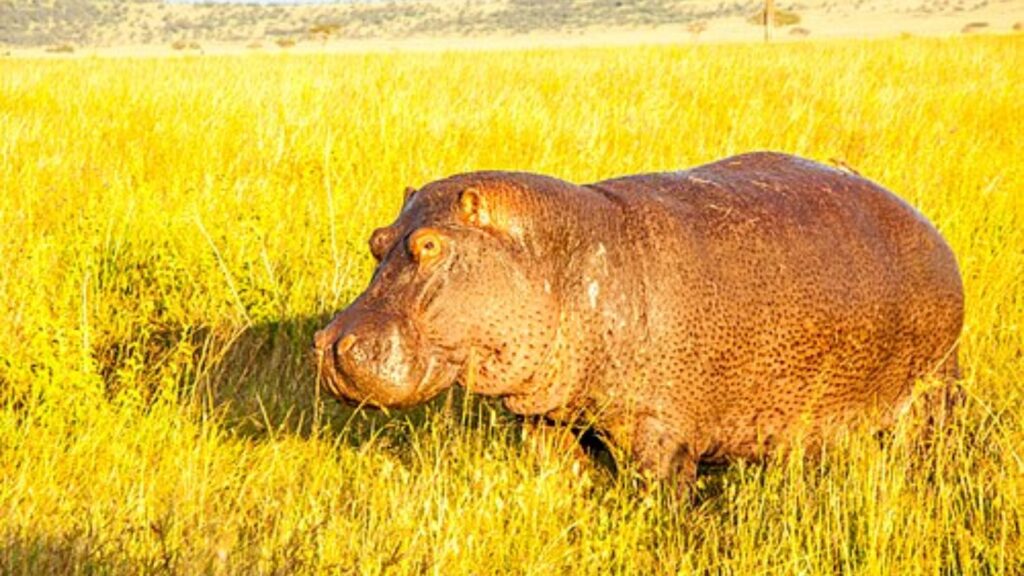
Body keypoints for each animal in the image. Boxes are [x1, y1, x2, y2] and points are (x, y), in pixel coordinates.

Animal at [313, 152, 963, 487]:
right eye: (376, 240)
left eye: (428, 245)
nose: (330, 343)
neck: (555, 257)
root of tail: (928, 227)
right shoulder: (549, 420)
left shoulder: (661, 431)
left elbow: (660, 496)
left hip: (934, 388)